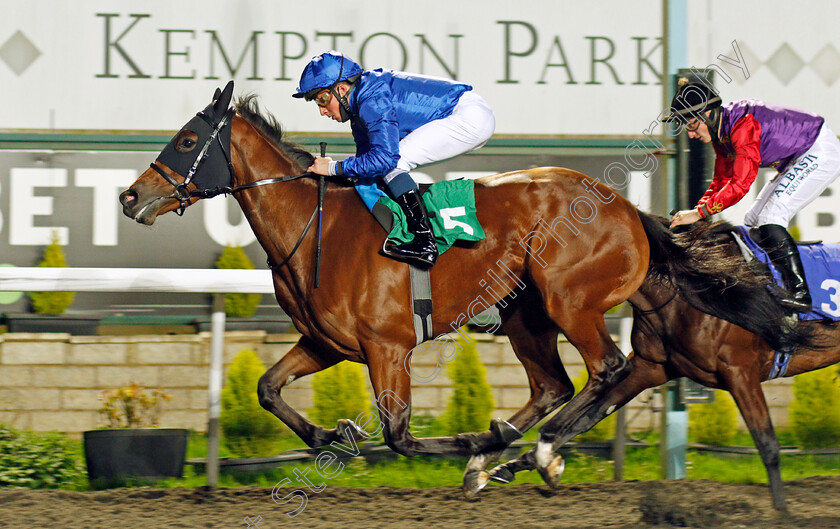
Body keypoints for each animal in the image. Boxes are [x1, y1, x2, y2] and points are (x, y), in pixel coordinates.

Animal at [118, 80, 808, 492]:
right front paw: (331, 434)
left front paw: (455, 446)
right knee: (554, 385)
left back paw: (531, 451)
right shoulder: (326, 343)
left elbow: (399, 436)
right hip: (526, 313)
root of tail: (628, 209)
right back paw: (504, 447)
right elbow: (266, 388)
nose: (129, 197)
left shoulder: (388, 346)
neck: (316, 227)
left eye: (186, 139)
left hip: (567, 299)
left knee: (606, 368)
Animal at [482, 217, 832, 510]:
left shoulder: (740, 372)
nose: (505, 307)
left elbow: (768, 444)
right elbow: (585, 420)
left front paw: (781, 513)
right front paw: (511, 465)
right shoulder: (649, 367)